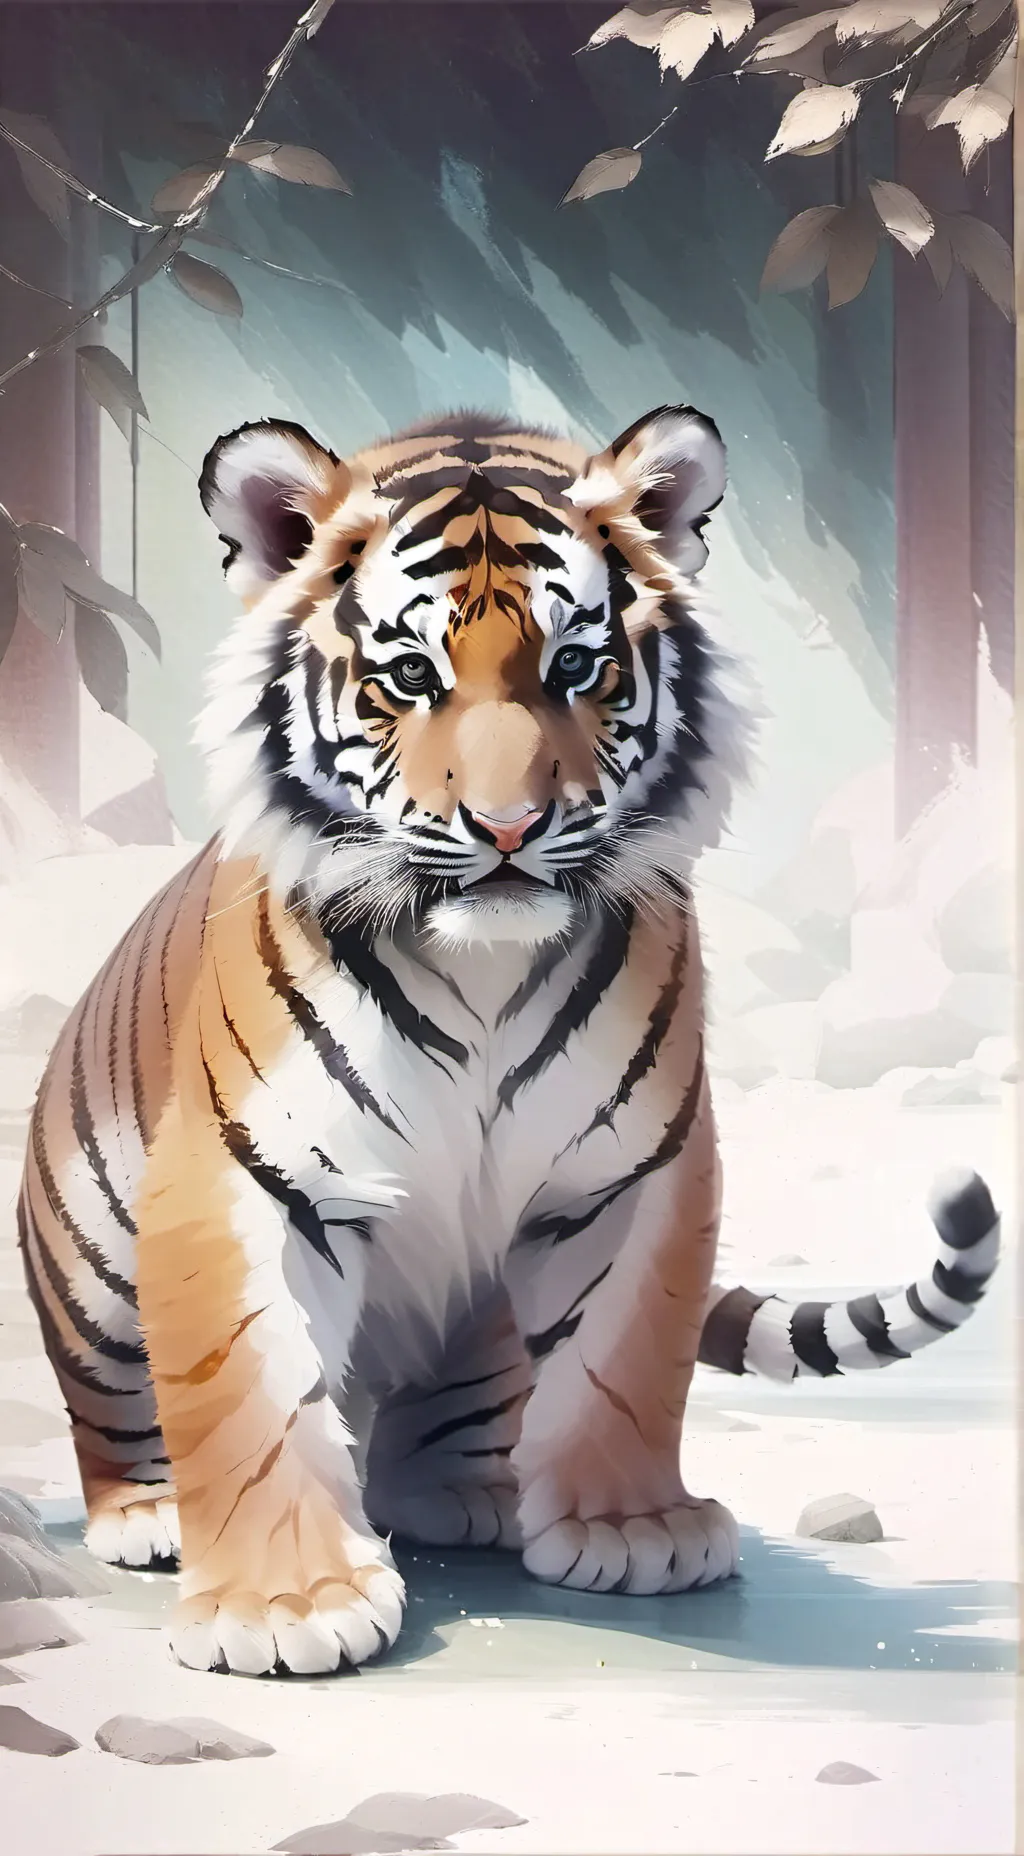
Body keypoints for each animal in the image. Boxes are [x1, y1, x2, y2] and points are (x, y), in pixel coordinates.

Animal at [17, 404, 1000, 1678]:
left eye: (574, 665)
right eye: (406, 676)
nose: (507, 827)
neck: (480, 967)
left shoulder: (632, 1170)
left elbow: (625, 1358)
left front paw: (631, 1527)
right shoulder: (248, 1172)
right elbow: (249, 1381)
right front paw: (285, 1605)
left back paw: (466, 1495)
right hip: (91, 1261)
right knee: (123, 1405)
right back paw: (149, 1511)